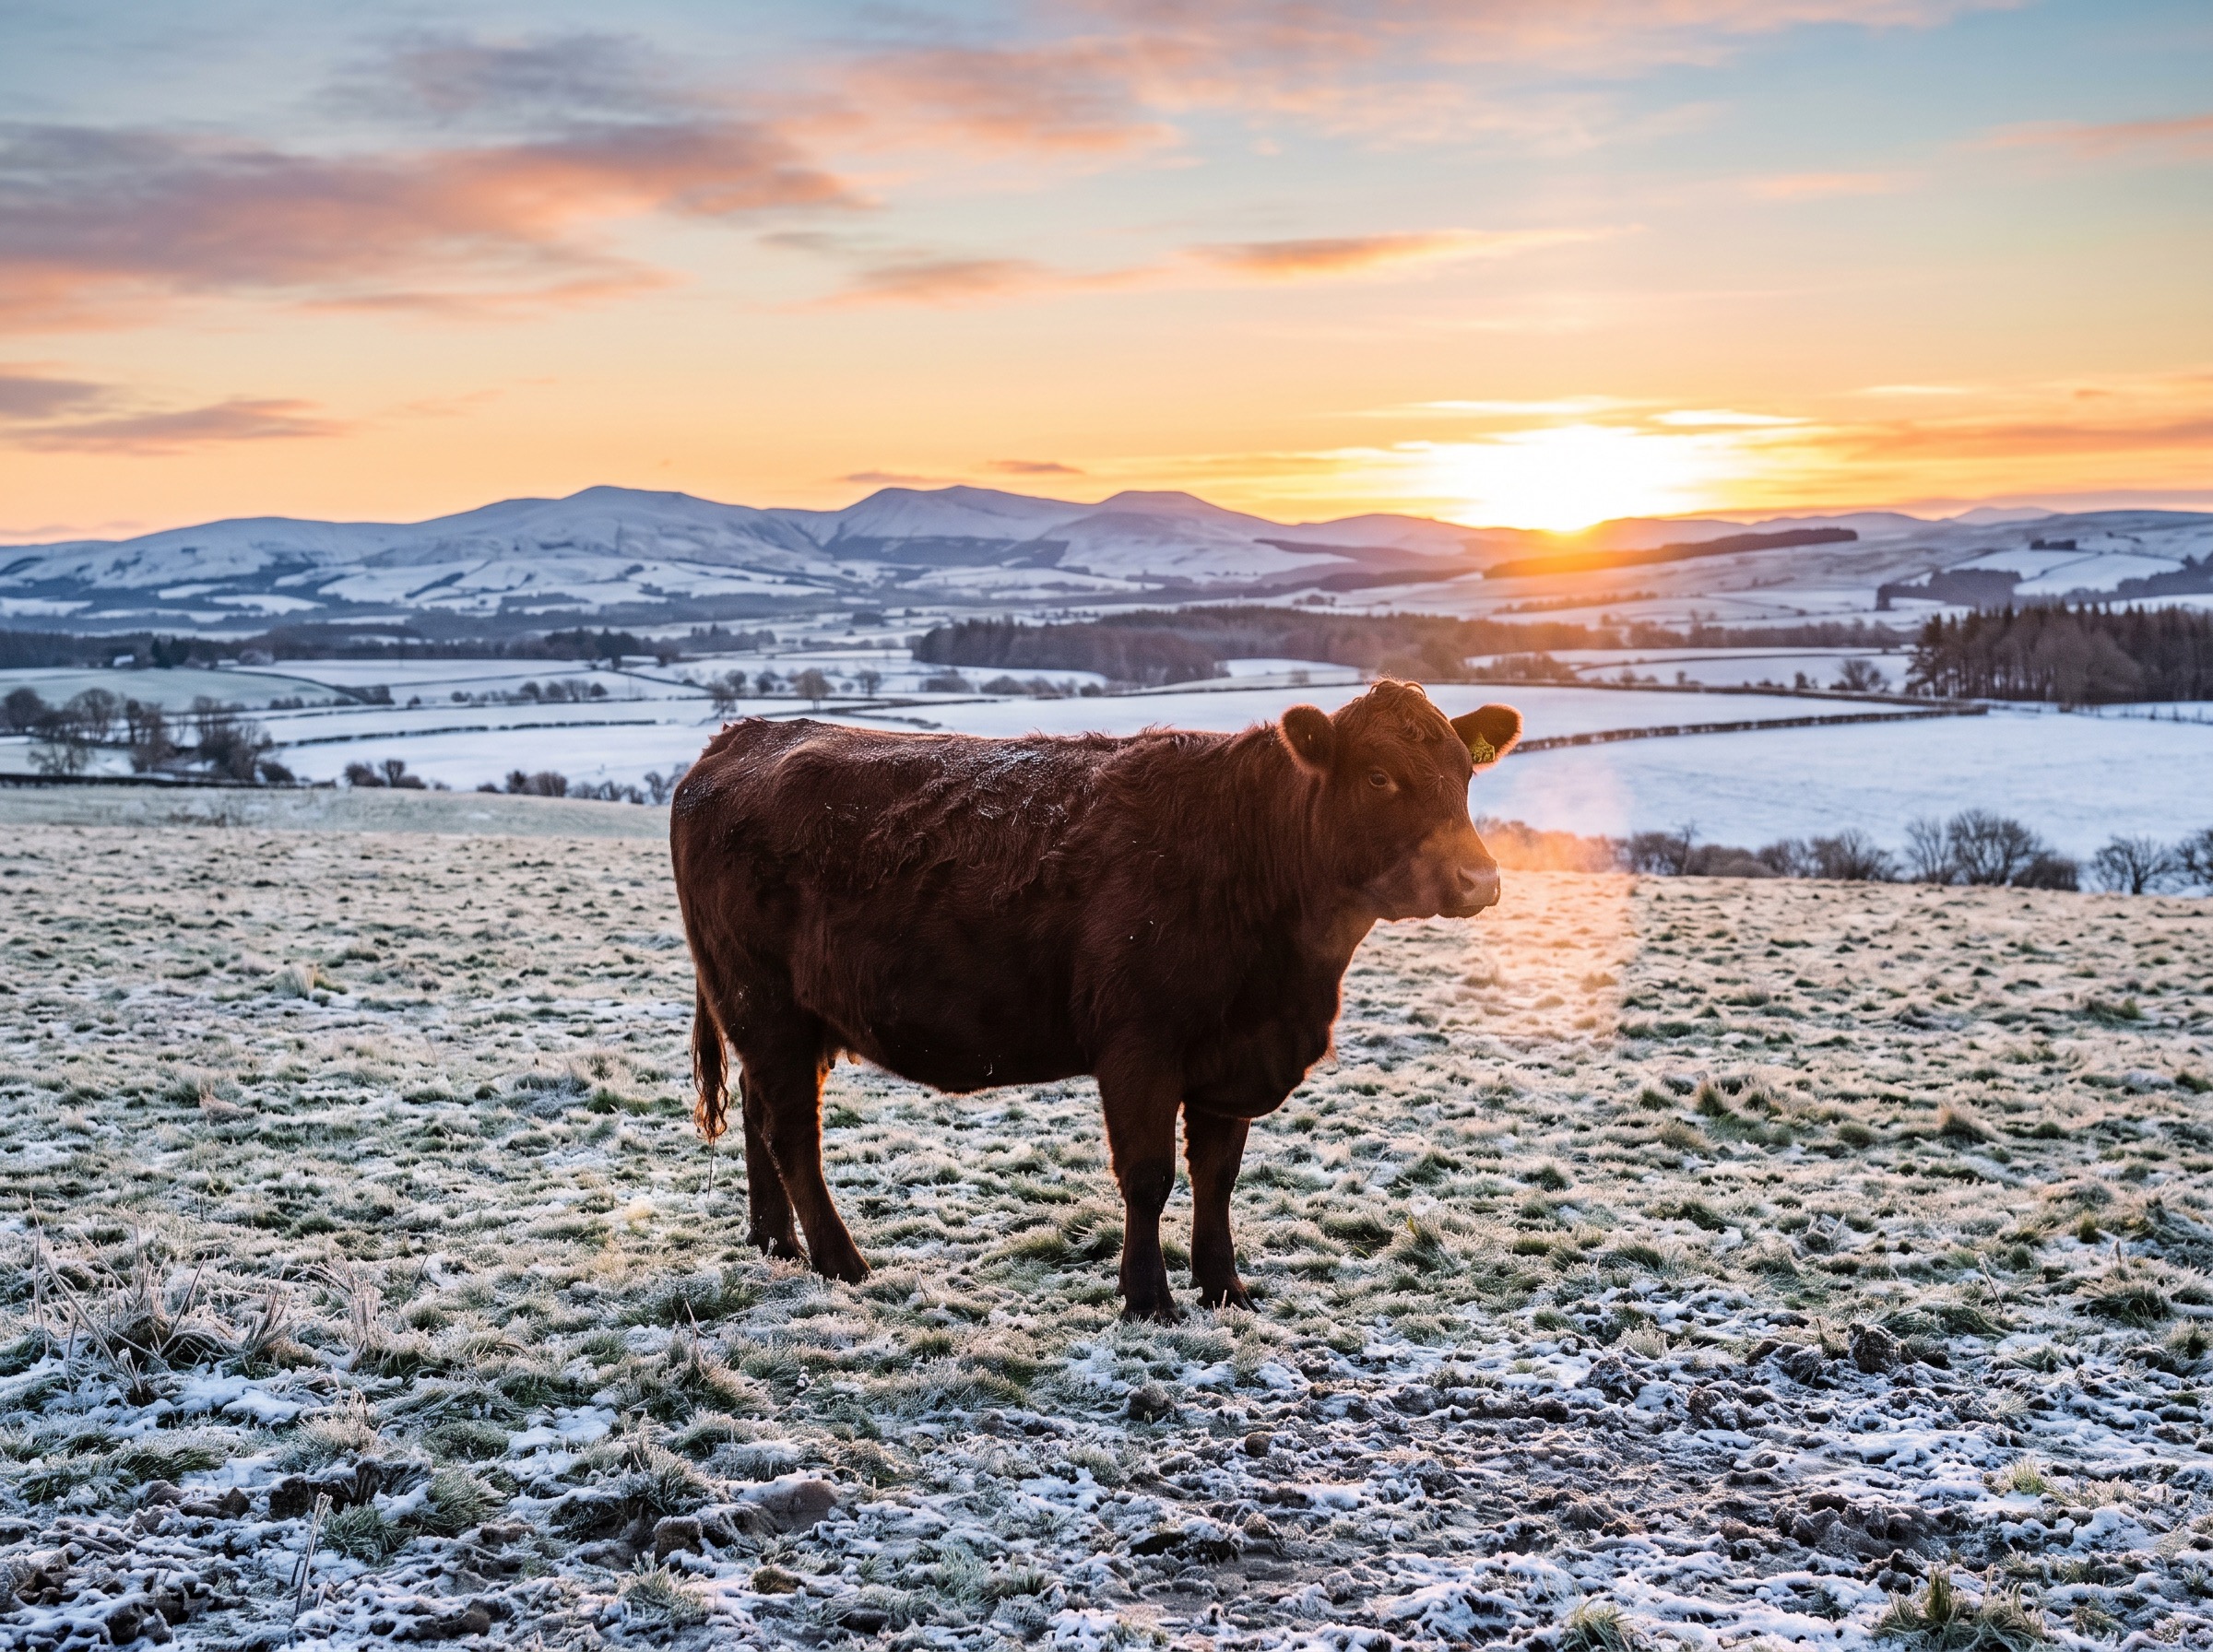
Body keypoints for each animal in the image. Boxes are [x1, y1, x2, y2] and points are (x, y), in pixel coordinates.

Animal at [670, 679, 1522, 1320]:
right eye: (1379, 775)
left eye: (1464, 773)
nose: (1480, 879)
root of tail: (742, 738)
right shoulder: (1139, 1047)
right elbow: (1148, 1177)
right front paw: (1147, 1299)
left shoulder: (1231, 1059)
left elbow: (1218, 1177)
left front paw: (1225, 1289)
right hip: (764, 1005)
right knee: (792, 1133)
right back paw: (841, 1260)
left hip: (783, 1020)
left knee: (760, 1114)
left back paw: (776, 1243)